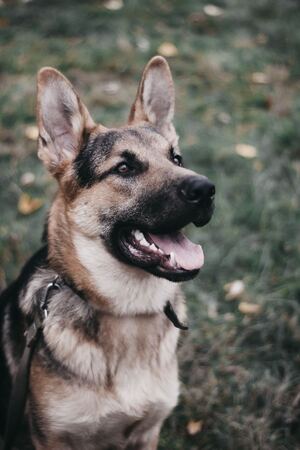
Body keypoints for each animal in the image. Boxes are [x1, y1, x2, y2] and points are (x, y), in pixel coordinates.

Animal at [0, 57, 216, 450]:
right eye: (125, 167)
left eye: (176, 158)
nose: (207, 189)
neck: (128, 313)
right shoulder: (52, 439)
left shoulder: (147, 433)